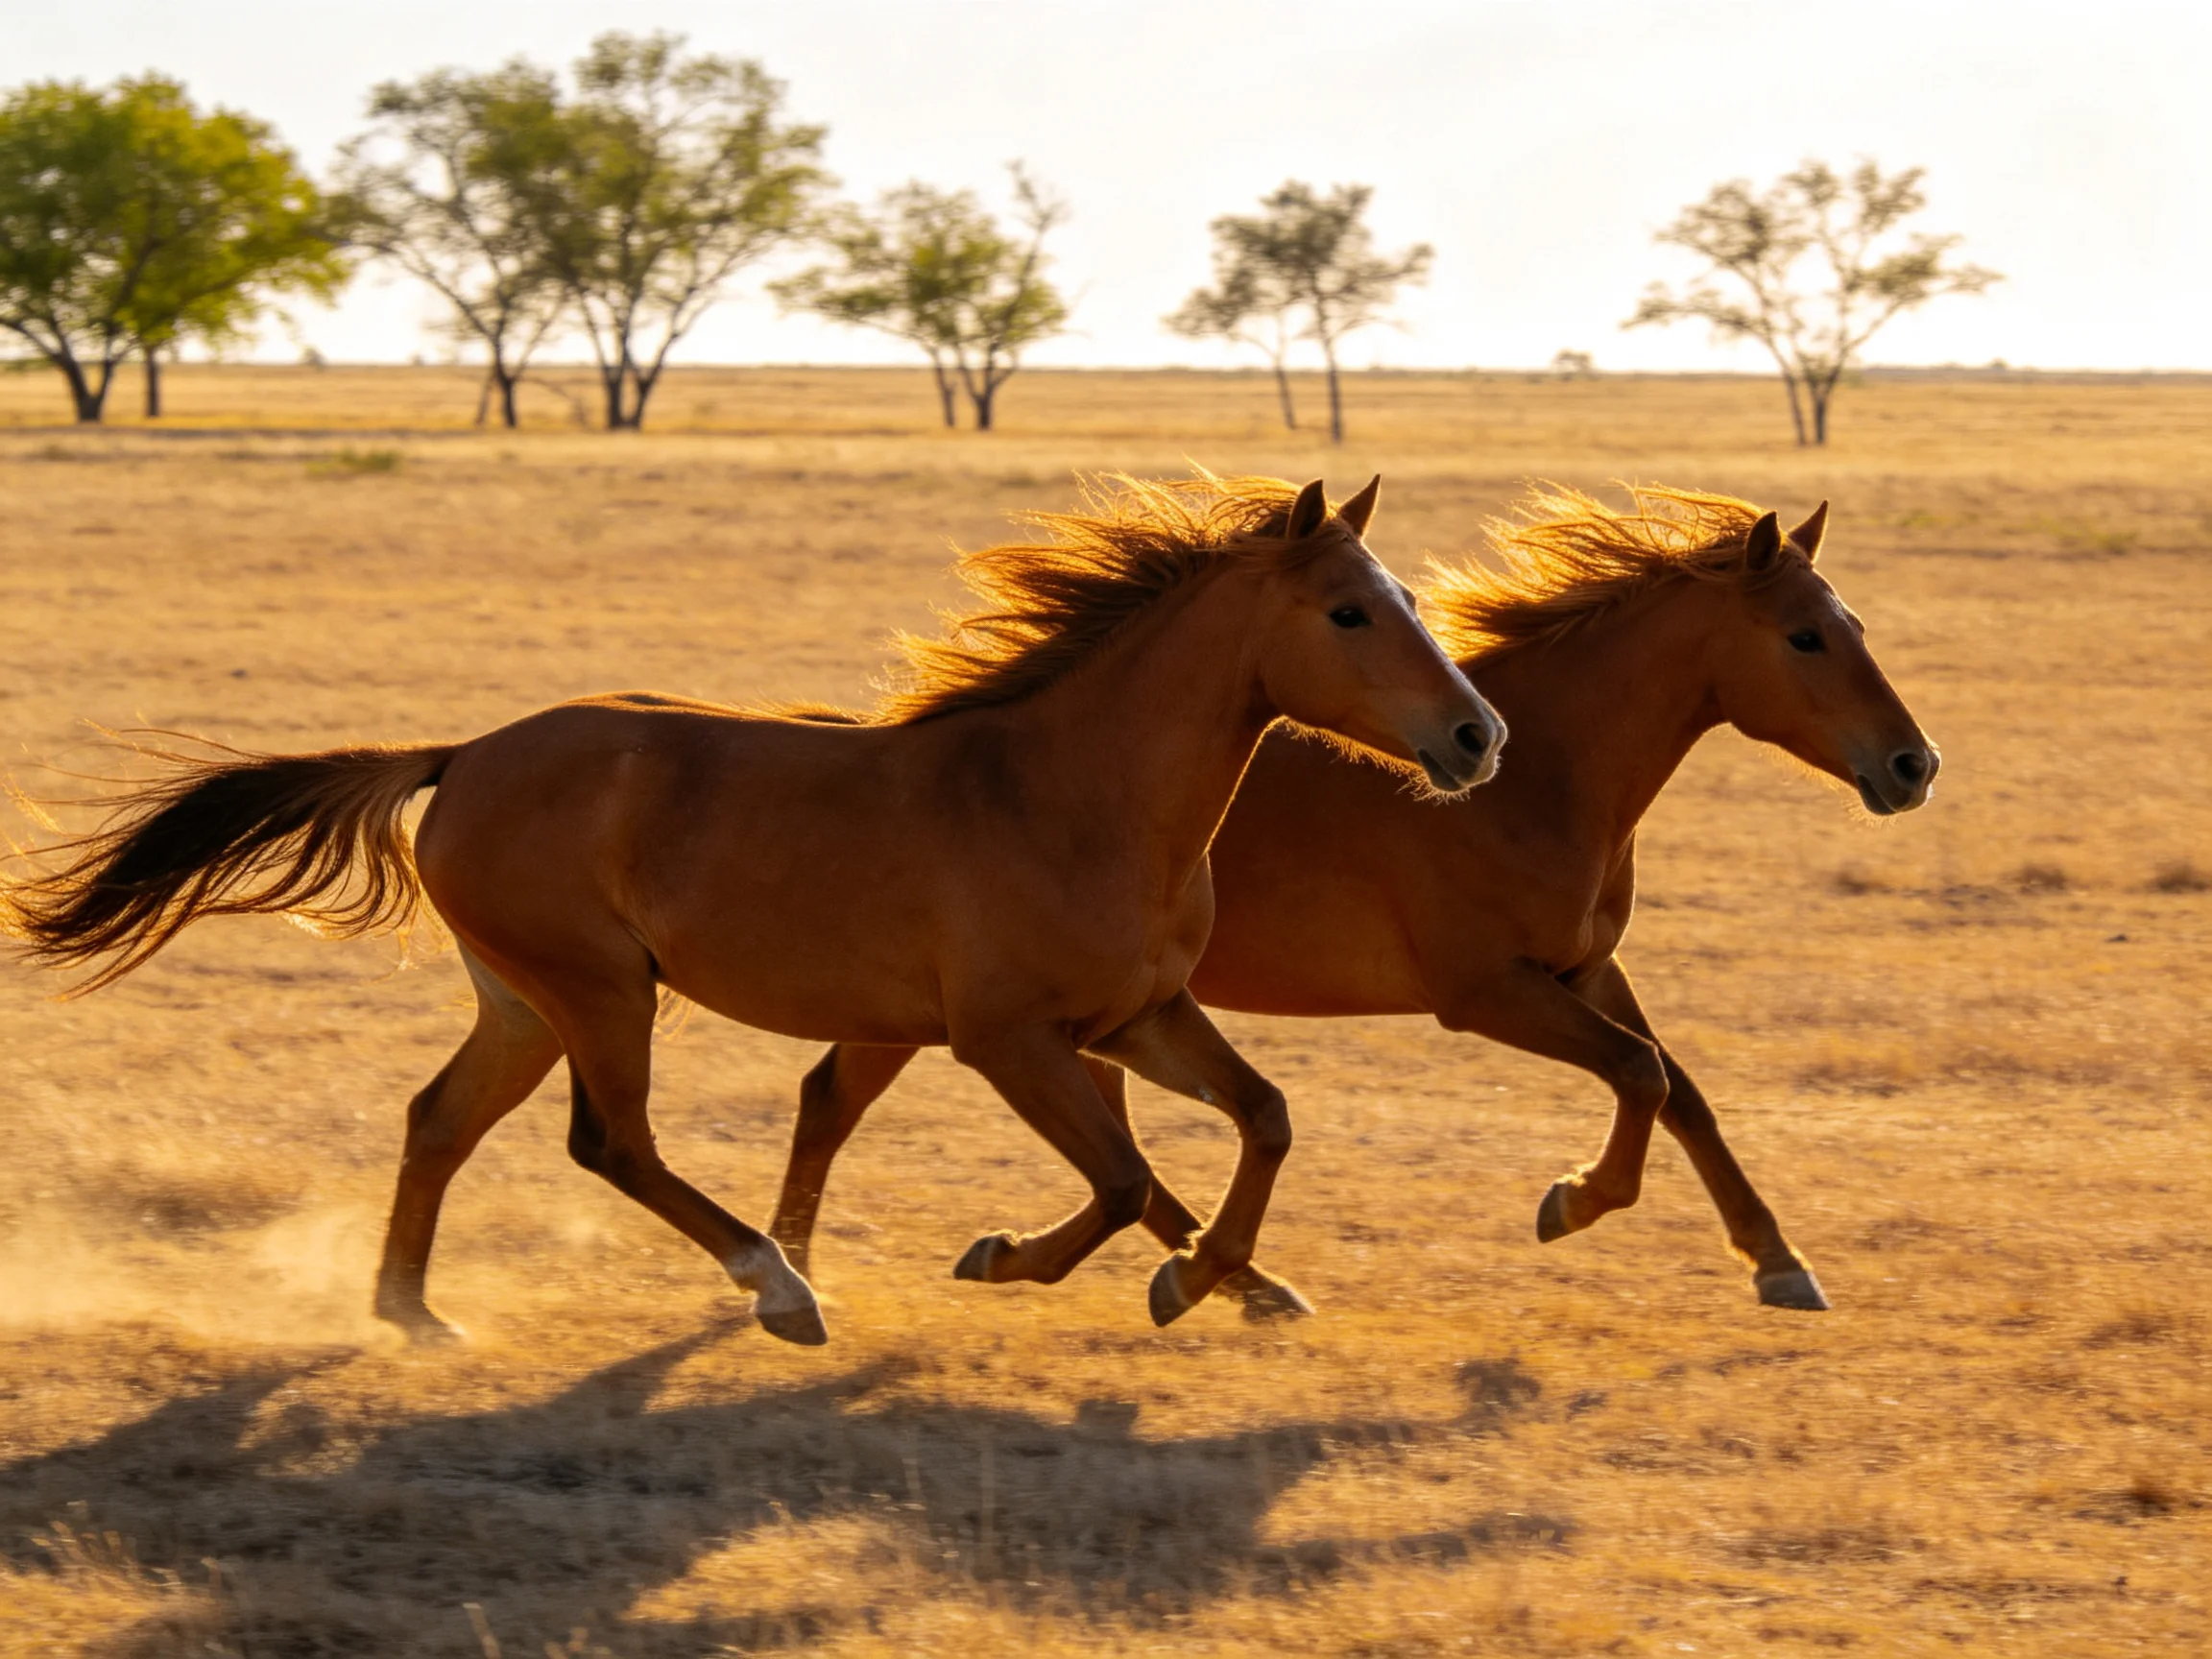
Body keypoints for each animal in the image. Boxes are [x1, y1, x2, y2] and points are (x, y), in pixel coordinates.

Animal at [2, 473, 1503, 1345]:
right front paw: (1017, 1259)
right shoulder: (1010, 1039)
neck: (1070, 793)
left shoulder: (1140, 1015)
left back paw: (410, 1313)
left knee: (439, 1120)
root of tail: (463, 755)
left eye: (1399, 596)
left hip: (523, 1001)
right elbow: (1128, 1177)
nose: (1476, 736)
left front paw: (1219, 1280)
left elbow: (1263, 1119)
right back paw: (777, 1286)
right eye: (1349, 613)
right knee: (611, 1144)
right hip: (602, 991)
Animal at [769, 486, 1939, 1315]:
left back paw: (1228, 1279)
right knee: (840, 1100)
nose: (1913, 765)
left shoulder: (1586, 967)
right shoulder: (1489, 991)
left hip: (1083, 1017)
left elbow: (1680, 1089)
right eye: (1804, 636)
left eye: (1854, 623)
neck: (1546, 780)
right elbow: (1639, 1075)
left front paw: (1779, 1261)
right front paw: (1573, 1204)